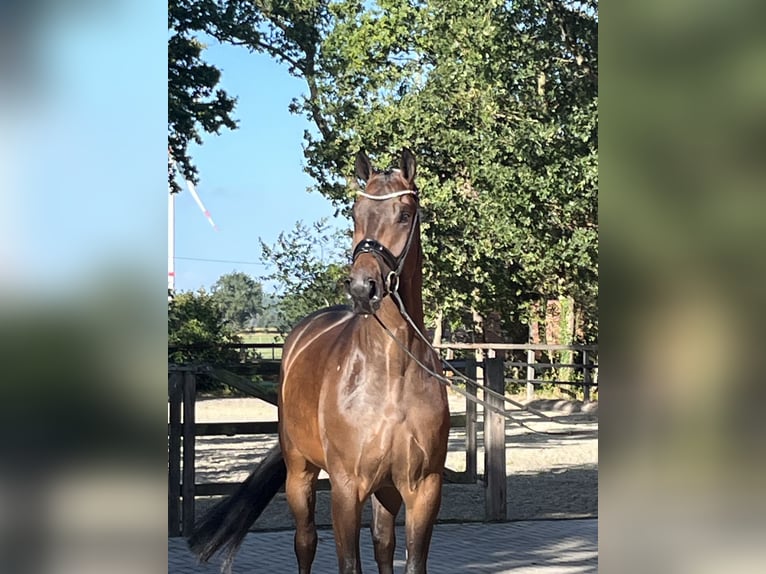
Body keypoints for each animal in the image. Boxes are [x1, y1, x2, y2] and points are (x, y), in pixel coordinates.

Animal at [189, 149, 450, 574]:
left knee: (383, 543)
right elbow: (348, 563)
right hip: (300, 473)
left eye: (404, 214)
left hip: (386, 490)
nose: (362, 287)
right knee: (306, 541)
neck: (390, 374)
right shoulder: (346, 488)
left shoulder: (423, 489)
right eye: (356, 212)